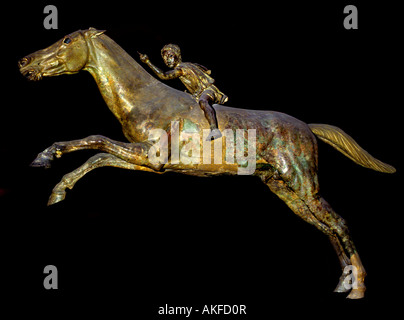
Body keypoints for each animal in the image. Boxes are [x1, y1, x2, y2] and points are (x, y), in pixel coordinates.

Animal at [18, 27, 394, 298]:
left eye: (66, 40)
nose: (24, 62)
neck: (145, 98)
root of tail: (308, 128)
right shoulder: (147, 161)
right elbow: (98, 156)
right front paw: (56, 189)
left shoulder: (150, 155)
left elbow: (94, 140)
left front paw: (44, 158)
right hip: (283, 188)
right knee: (326, 227)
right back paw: (343, 283)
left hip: (303, 182)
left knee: (339, 223)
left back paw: (357, 288)